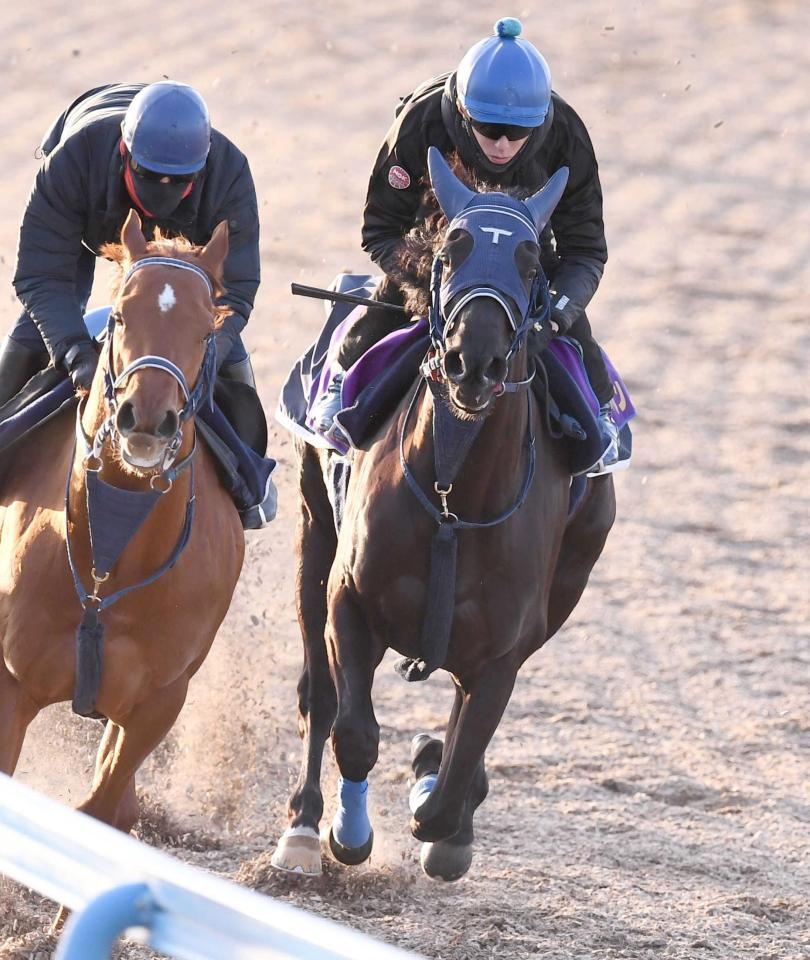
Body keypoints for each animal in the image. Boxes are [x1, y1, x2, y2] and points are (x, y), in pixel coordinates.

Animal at [0, 208, 243, 832]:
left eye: (207, 330)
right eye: (119, 316)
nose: (148, 418)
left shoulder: (155, 704)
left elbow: (103, 809)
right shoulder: (11, 683)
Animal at [272, 152, 612, 884]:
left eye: (530, 263)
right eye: (451, 248)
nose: (472, 360)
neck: (456, 499)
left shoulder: (506, 648)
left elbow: (452, 783)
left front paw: (438, 792)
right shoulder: (351, 601)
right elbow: (355, 733)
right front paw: (348, 833)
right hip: (313, 532)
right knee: (318, 694)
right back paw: (305, 827)